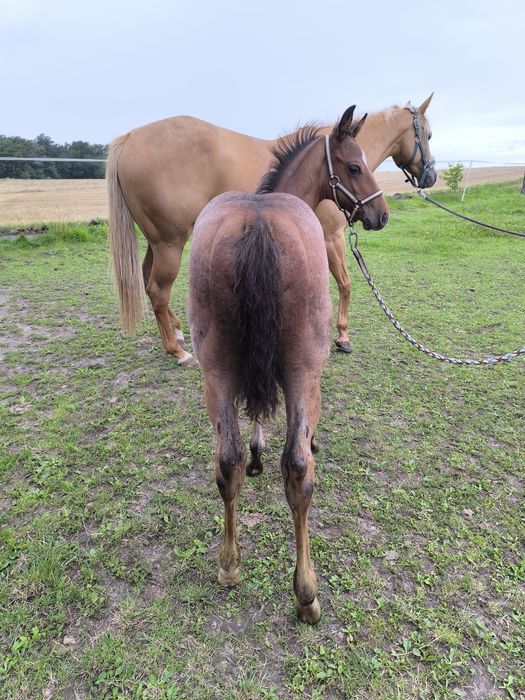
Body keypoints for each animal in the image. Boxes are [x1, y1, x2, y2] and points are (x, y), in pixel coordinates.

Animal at [107, 95, 435, 364]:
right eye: (354, 167)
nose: (382, 215)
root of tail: (130, 136)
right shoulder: (331, 236)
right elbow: (344, 283)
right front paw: (342, 337)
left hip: (158, 240)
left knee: (147, 279)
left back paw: (176, 332)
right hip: (170, 241)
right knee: (158, 289)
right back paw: (178, 351)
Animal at [188, 106, 389, 624]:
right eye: (354, 166)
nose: (380, 214)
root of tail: (258, 226)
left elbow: (254, 420)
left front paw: (257, 453)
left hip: (215, 375)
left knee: (226, 461)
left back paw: (229, 566)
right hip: (303, 375)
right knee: (298, 469)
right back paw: (306, 594)